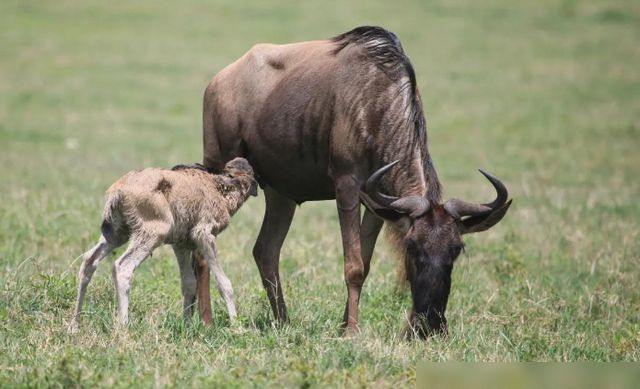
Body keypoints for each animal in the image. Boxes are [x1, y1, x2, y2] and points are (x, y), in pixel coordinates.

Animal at [68, 157, 258, 330]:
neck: (220, 188)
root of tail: (118, 190)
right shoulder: (204, 235)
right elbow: (224, 284)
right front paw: (237, 327)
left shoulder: (180, 244)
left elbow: (189, 283)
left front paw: (186, 326)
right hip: (152, 234)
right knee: (123, 267)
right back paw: (123, 327)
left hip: (116, 234)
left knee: (89, 260)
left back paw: (74, 326)